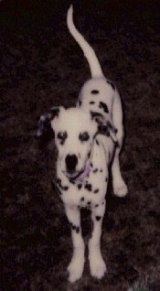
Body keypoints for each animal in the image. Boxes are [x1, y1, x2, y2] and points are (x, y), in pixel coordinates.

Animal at [36, 4, 127, 282]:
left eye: (85, 136)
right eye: (61, 136)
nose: (70, 160)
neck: (79, 182)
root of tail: (97, 76)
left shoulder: (99, 208)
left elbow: (94, 238)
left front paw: (95, 264)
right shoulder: (71, 210)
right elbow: (78, 240)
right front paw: (77, 265)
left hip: (119, 131)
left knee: (116, 158)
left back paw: (119, 183)